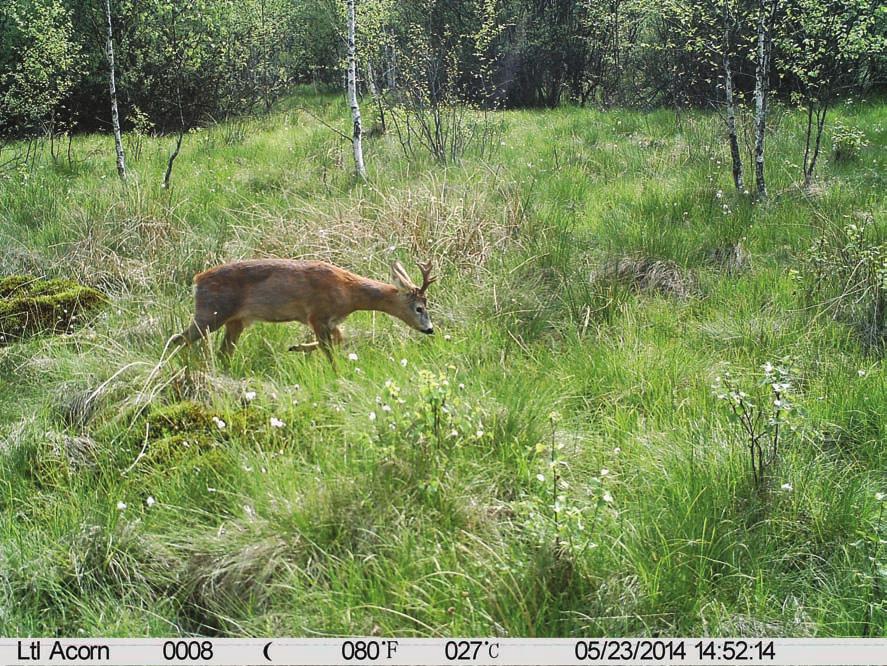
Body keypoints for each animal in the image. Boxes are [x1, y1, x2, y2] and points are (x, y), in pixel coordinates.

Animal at [171, 256, 438, 360]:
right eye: (419, 308)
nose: (430, 329)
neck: (350, 293)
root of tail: (197, 280)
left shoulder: (331, 321)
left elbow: (339, 339)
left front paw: (297, 347)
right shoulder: (317, 315)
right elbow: (328, 350)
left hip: (234, 321)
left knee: (223, 352)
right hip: (212, 312)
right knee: (177, 339)